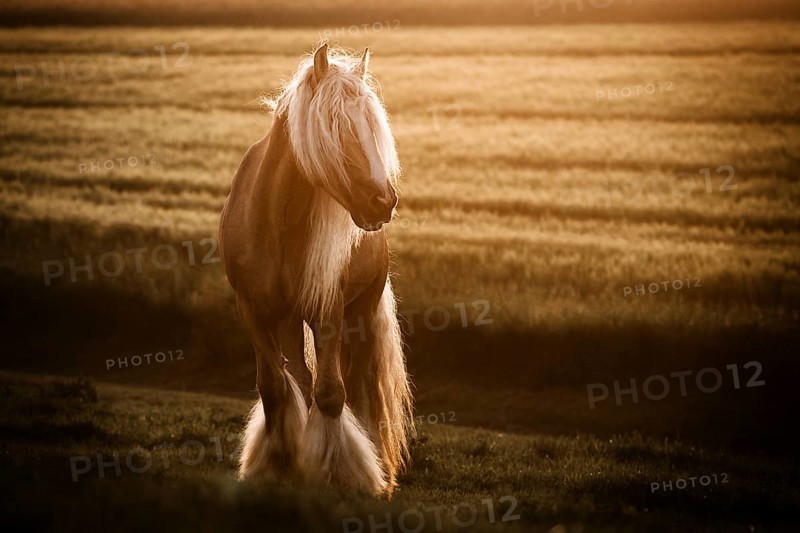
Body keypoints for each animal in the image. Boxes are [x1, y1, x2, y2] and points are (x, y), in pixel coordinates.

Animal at [218, 43, 414, 494]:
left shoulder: (328, 309)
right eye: (336, 127)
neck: (276, 219)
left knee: (358, 386)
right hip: (289, 320)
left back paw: (376, 460)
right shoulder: (251, 308)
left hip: (360, 311)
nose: (383, 201)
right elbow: (274, 388)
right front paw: (279, 464)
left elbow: (331, 392)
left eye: (371, 126)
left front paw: (342, 473)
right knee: (299, 378)